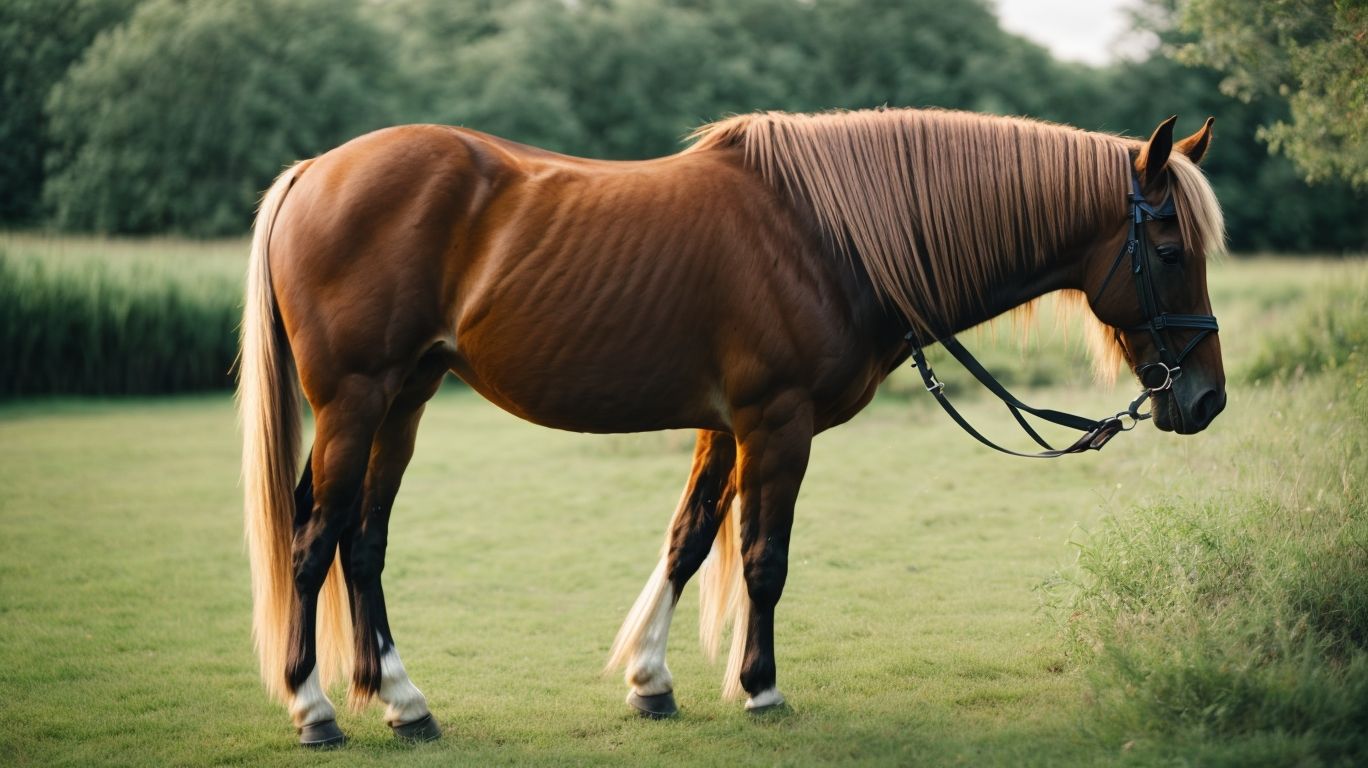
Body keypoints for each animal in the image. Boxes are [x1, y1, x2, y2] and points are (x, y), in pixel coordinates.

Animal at [238, 107, 1226, 746]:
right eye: (1171, 246)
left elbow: (687, 540)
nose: (1206, 399)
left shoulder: (724, 428)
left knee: (363, 542)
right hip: (356, 402)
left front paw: (650, 680)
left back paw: (403, 703)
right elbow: (761, 559)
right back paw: (314, 710)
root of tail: (314, 172)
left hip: (402, 402)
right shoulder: (776, 425)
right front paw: (759, 688)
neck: (831, 237)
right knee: (315, 542)